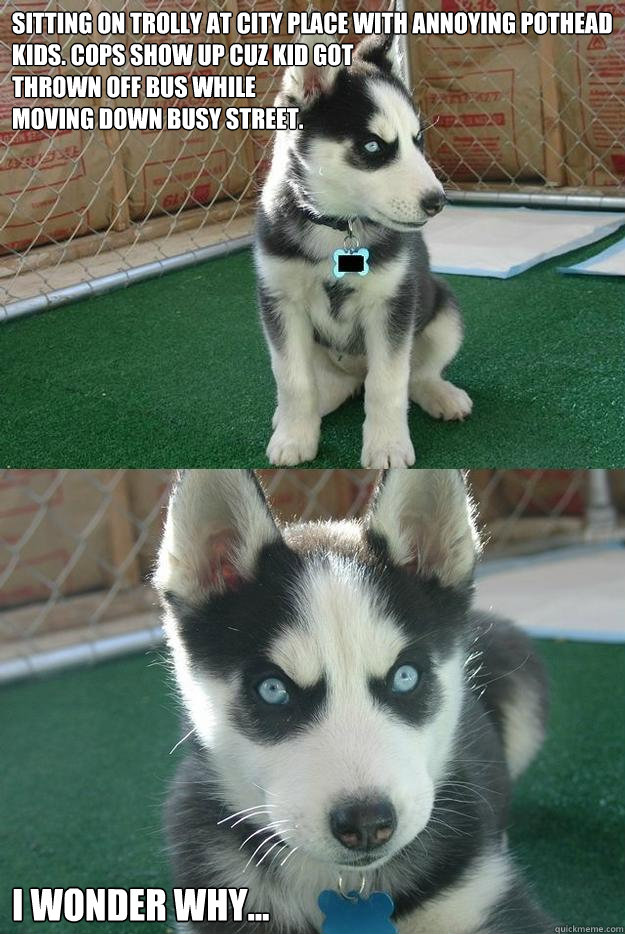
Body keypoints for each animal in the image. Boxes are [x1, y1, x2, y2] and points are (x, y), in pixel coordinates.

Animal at [256, 35, 470, 468]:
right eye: (373, 146)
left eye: (417, 140)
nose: (437, 202)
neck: (338, 226)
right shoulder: (280, 301)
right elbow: (292, 379)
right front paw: (293, 436)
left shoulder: (392, 304)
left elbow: (387, 384)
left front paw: (386, 446)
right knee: (330, 384)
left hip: (444, 313)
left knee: (415, 375)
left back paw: (441, 394)